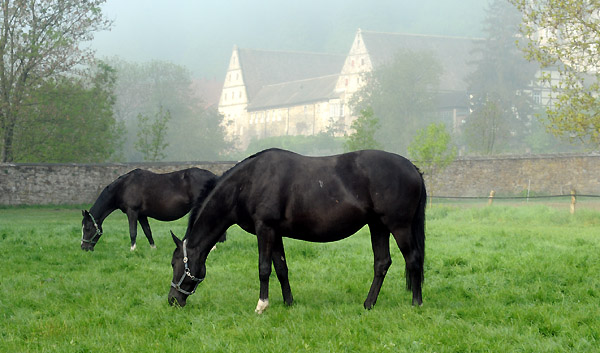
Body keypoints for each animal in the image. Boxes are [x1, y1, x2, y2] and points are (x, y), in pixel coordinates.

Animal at [81, 168, 223, 250]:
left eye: (87, 228)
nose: (83, 247)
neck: (124, 186)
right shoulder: (141, 215)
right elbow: (147, 231)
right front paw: (153, 248)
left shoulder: (132, 212)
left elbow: (133, 231)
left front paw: (132, 250)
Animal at [166, 148, 424, 310]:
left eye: (175, 263)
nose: (172, 300)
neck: (247, 182)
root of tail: (413, 168)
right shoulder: (275, 232)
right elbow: (281, 268)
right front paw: (288, 303)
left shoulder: (265, 229)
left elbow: (264, 268)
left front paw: (262, 305)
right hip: (378, 226)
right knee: (382, 263)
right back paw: (368, 304)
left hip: (398, 226)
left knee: (412, 259)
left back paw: (416, 303)